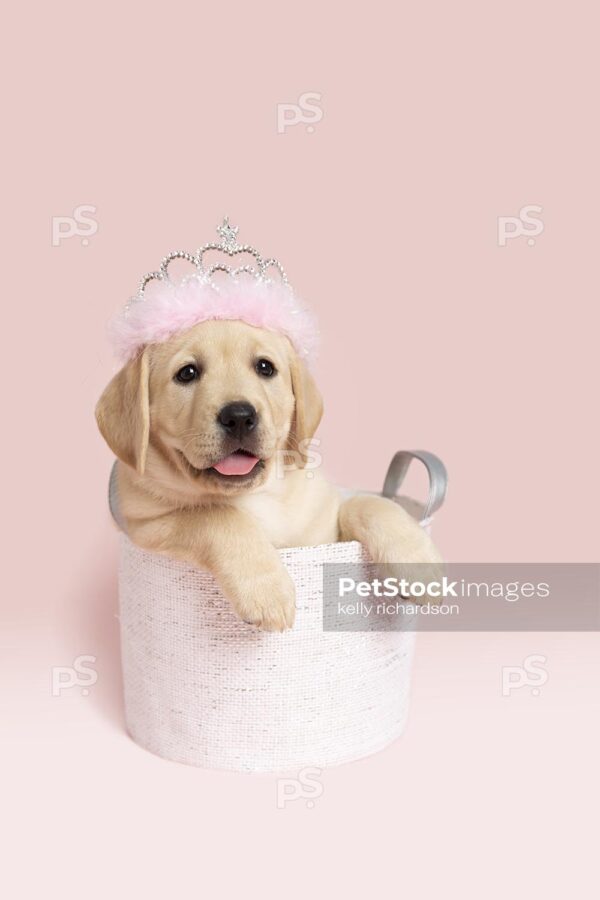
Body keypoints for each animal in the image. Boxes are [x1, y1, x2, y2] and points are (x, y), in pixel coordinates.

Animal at [96, 316, 438, 632]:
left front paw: (418, 563)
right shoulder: (148, 525)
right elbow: (216, 516)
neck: (256, 494)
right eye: (187, 373)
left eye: (265, 367)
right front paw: (267, 591)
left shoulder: (325, 528)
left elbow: (369, 503)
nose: (238, 416)